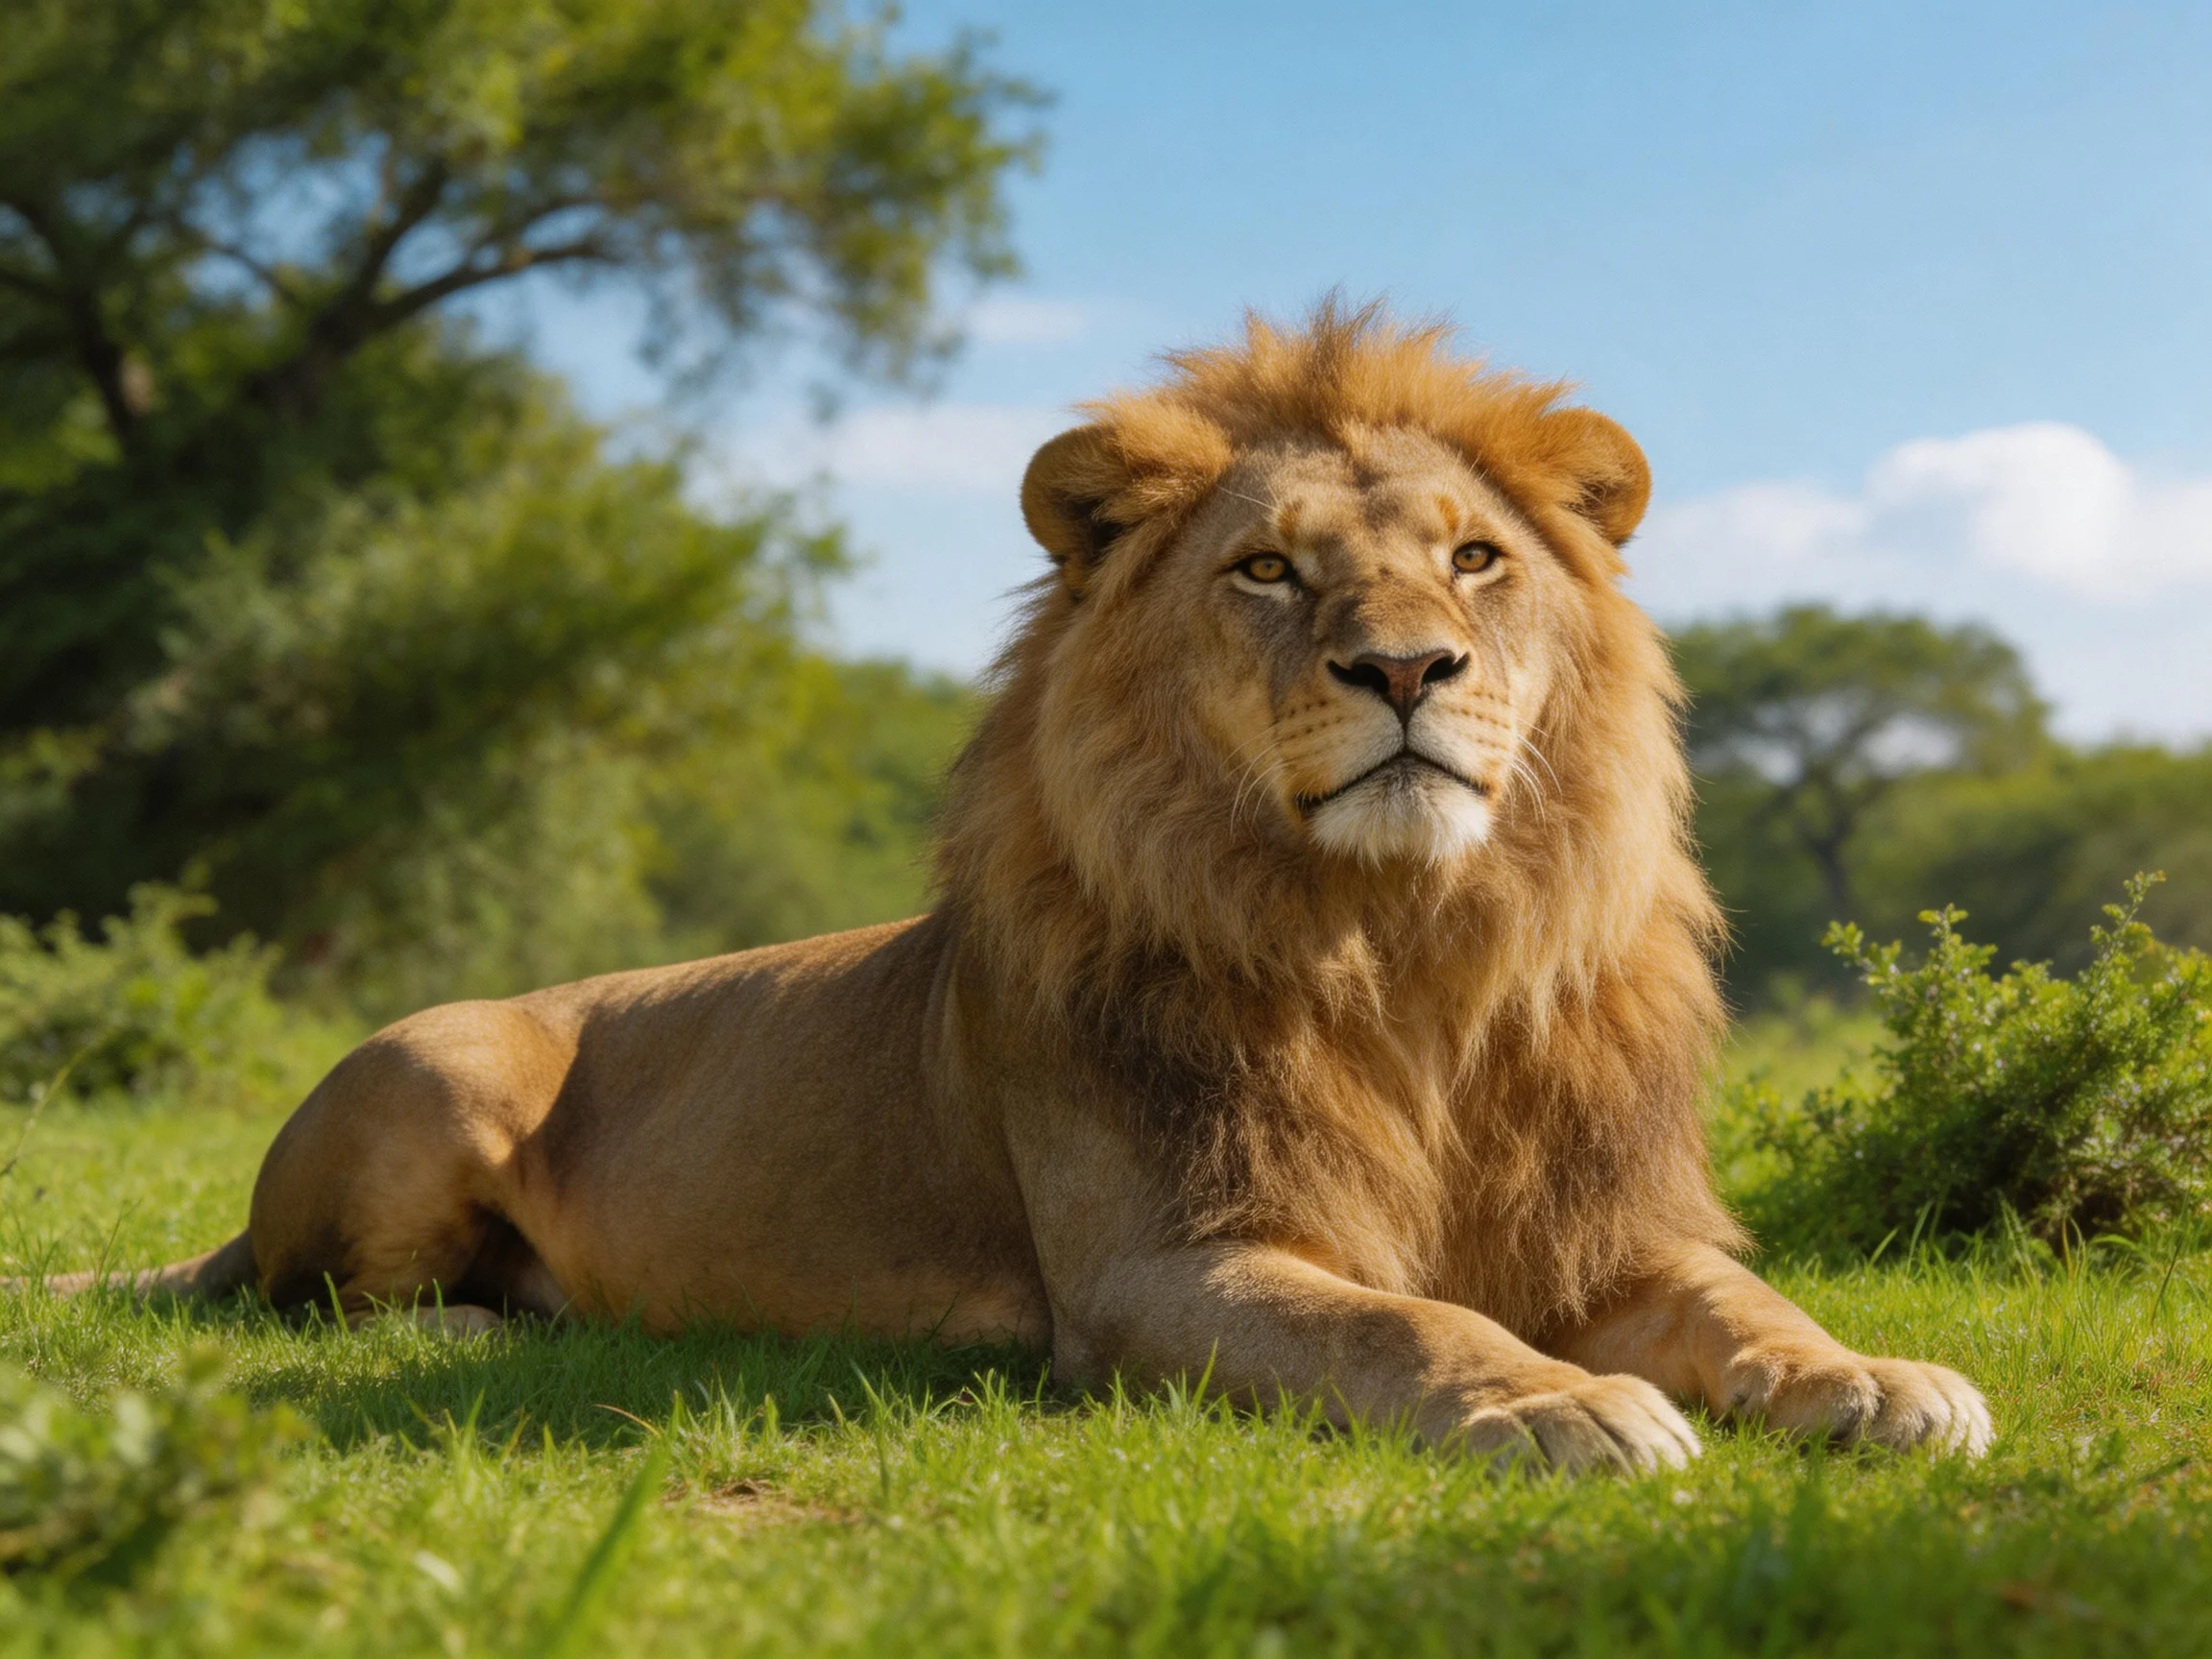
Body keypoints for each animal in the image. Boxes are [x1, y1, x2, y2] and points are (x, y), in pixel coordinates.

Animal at [28, 303, 1990, 1472]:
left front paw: (1874, 1377)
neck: (1402, 947)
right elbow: (1397, 1317)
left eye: (1475, 560)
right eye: (1269, 571)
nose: (1407, 669)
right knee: (314, 1296)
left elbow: (1747, 1308)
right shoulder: (1158, 1267)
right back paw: (488, 1318)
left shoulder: (1618, 1226)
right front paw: (1559, 1394)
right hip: (437, 1061)